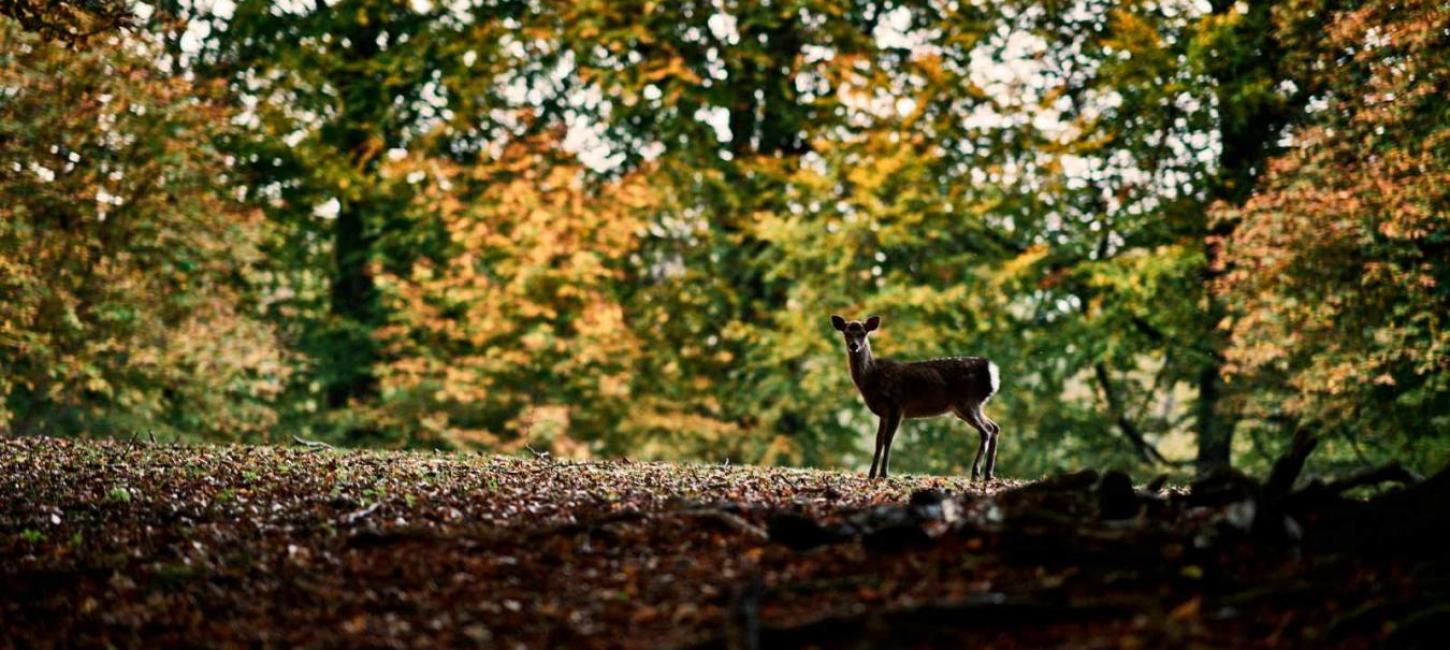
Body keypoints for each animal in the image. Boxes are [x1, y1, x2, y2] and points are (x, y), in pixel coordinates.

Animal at [835, 317, 1003, 478]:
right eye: (846, 333)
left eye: (863, 333)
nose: (854, 346)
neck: (872, 377)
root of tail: (992, 372)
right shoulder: (883, 414)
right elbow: (878, 441)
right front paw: (871, 474)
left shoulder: (897, 405)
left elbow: (888, 439)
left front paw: (883, 474)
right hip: (966, 407)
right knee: (994, 427)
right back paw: (988, 474)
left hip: (968, 401)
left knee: (986, 430)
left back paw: (976, 472)